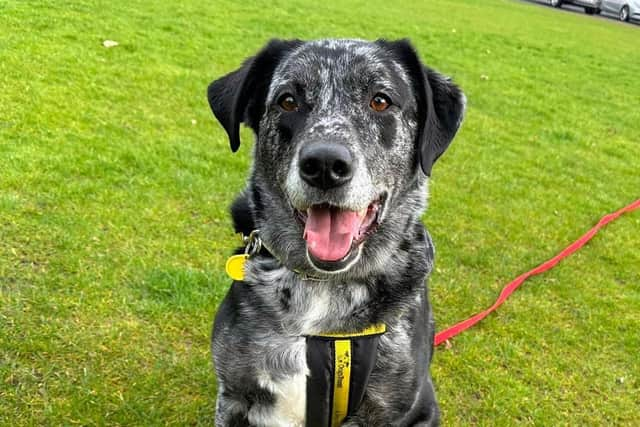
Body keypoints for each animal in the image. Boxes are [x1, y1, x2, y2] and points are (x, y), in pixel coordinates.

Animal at [209, 38, 464, 426]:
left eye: (380, 100)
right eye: (288, 100)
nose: (325, 165)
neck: (322, 286)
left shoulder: (387, 411)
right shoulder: (234, 396)